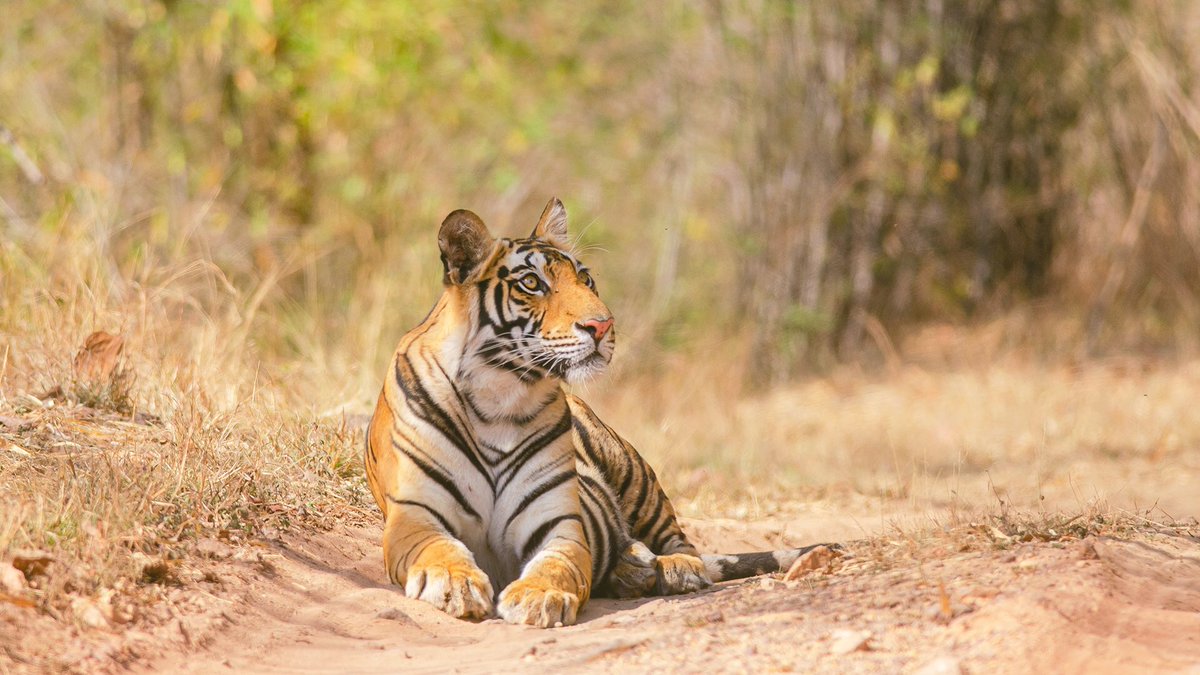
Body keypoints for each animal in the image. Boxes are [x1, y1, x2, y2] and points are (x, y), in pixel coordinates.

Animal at [362, 195, 825, 624]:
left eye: (585, 278)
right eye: (531, 283)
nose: (603, 326)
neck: (500, 395)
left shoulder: (558, 524)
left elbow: (557, 564)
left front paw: (539, 597)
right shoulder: (415, 516)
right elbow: (439, 549)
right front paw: (456, 585)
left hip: (632, 471)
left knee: (677, 536)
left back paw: (673, 568)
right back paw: (633, 568)